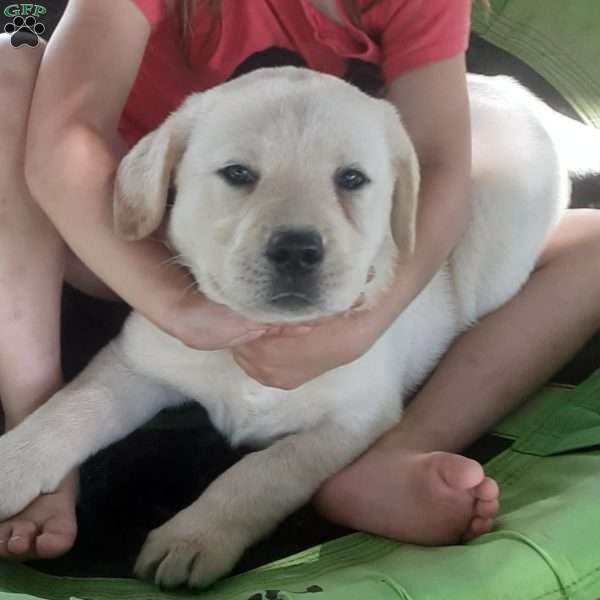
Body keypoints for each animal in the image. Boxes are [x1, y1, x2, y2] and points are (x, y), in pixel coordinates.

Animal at [0, 68, 592, 588]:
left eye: (351, 179)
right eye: (238, 174)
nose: (297, 249)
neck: (266, 333)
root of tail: (505, 89)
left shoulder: (352, 420)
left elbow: (264, 472)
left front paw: (195, 537)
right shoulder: (137, 362)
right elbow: (71, 411)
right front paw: (13, 464)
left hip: (493, 247)